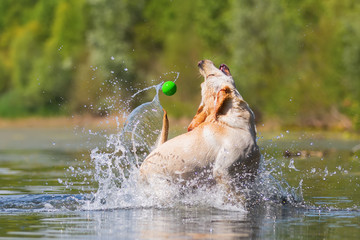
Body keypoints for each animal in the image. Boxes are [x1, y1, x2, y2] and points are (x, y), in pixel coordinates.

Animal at [139, 59, 260, 193]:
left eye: (210, 75)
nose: (200, 62)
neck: (234, 123)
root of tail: (142, 166)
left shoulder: (251, 169)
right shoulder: (223, 171)